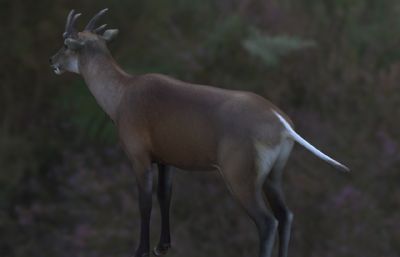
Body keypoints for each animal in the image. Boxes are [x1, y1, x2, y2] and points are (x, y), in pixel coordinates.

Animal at [50, 8, 350, 256]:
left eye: (66, 44)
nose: (52, 61)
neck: (123, 95)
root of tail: (281, 123)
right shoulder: (166, 160)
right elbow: (165, 195)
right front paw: (162, 246)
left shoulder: (139, 158)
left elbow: (144, 202)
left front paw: (142, 250)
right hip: (273, 176)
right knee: (286, 215)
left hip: (240, 179)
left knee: (267, 222)